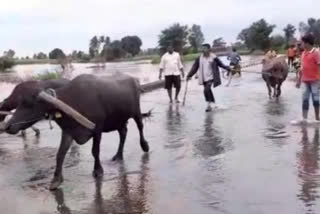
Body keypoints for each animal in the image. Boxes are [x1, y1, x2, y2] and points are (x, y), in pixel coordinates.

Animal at [2, 74, 150, 191]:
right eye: (19, 103)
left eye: (30, 104)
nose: (7, 126)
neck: (72, 102)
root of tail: (133, 80)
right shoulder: (69, 132)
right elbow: (60, 154)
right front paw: (56, 180)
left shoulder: (97, 130)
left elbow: (95, 151)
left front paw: (98, 170)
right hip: (119, 119)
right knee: (123, 132)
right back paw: (118, 155)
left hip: (136, 112)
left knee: (140, 127)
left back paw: (144, 146)